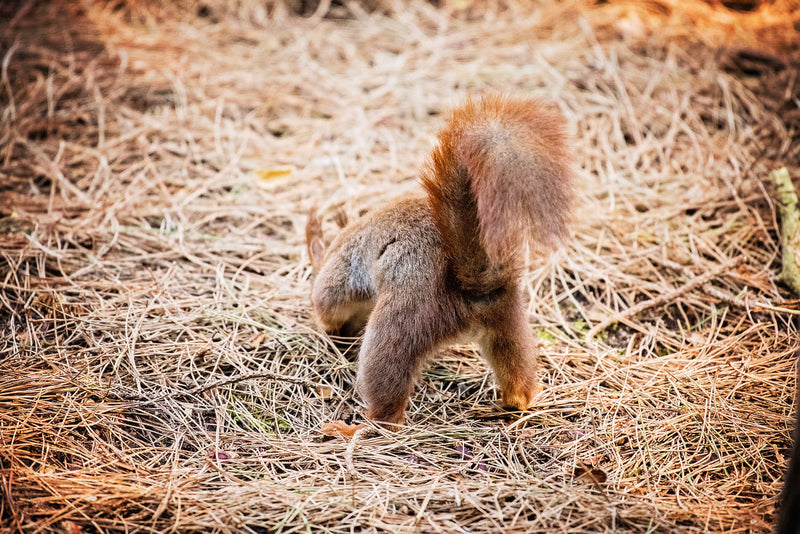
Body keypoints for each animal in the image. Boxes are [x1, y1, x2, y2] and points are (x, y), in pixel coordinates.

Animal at [306, 94, 574, 430]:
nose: (347, 335)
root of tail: (470, 292)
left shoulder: (341, 271)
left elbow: (326, 303)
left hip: (401, 322)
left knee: (387, 404)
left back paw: (354, 429)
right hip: (507, 318)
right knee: (517, 373)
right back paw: (510, 404)